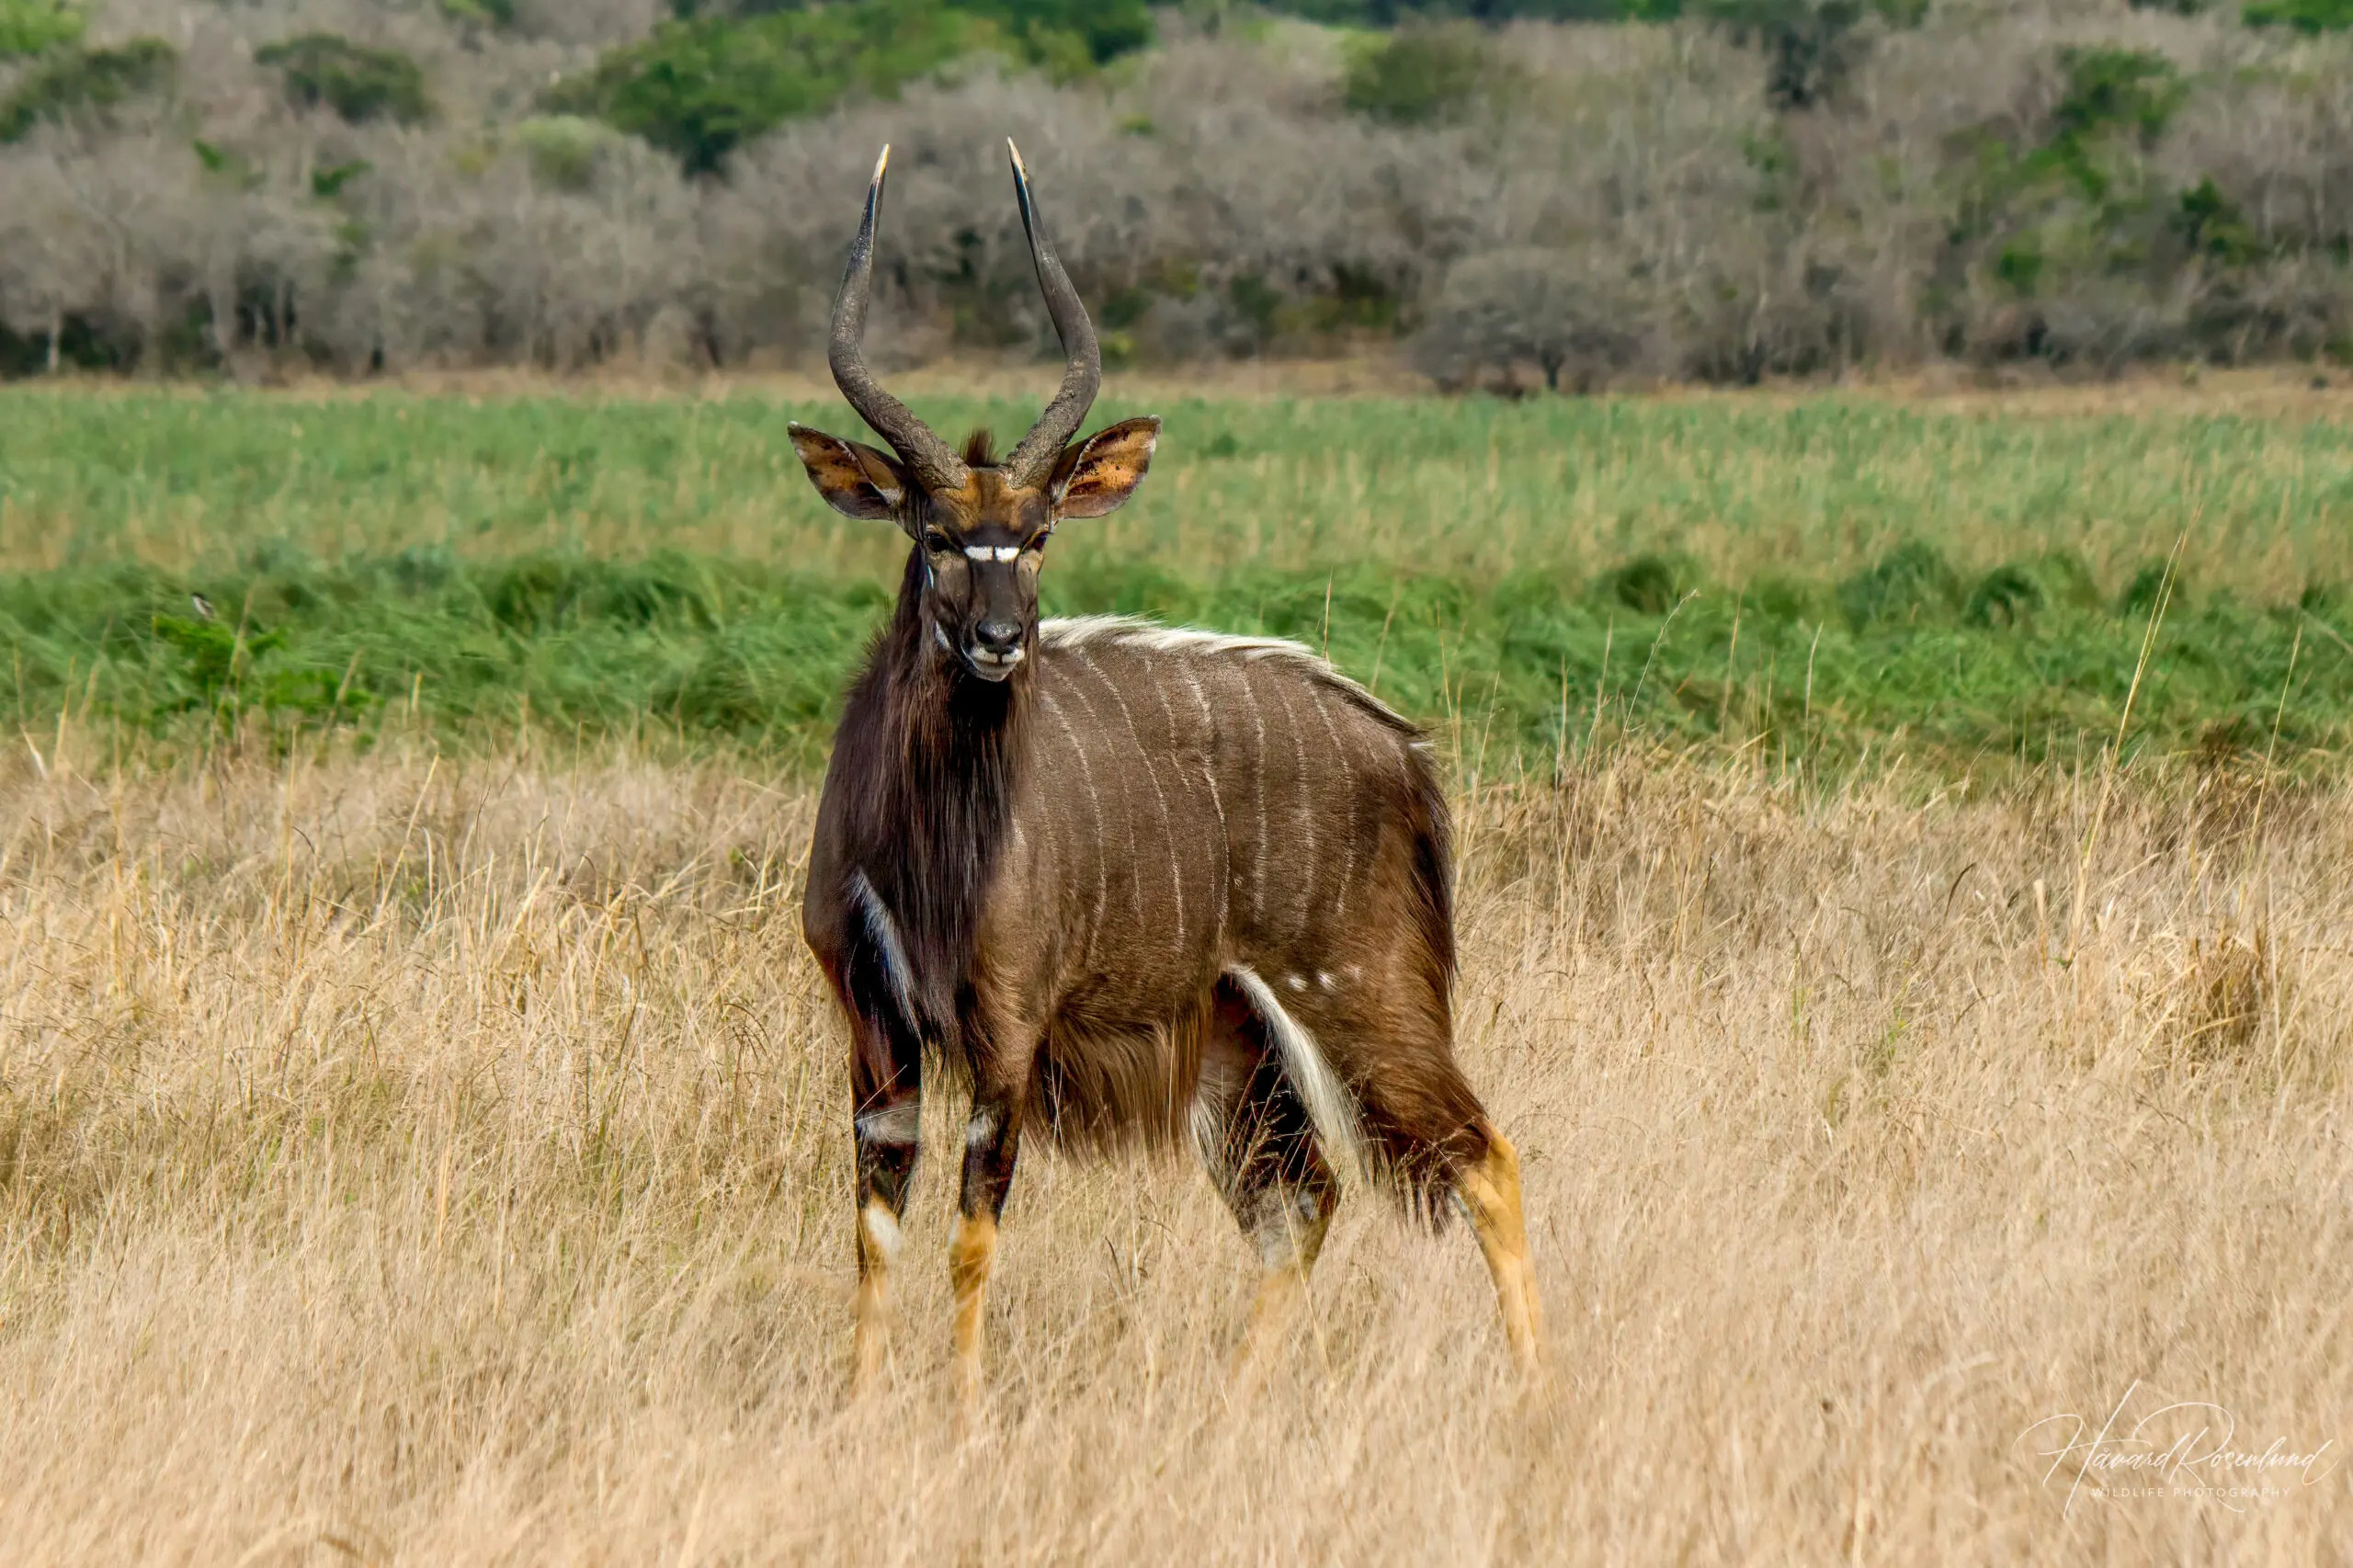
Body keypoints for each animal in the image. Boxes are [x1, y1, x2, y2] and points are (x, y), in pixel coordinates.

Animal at [795, 143, 1543, 1393]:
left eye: (1040, 533)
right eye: (936, 535)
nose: (1001, 638)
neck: (929, 845)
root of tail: (1402, 749)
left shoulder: (1007, 1031)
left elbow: (971, 1234)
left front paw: (961, 1413)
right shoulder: (875, 1027)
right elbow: (874, 1230)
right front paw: (855, 1406)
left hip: (1361, 1001)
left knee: (1483, 1156)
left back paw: (1540, 1397)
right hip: (1237, 1038)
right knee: (1302, 1201)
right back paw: (1237, 1403)